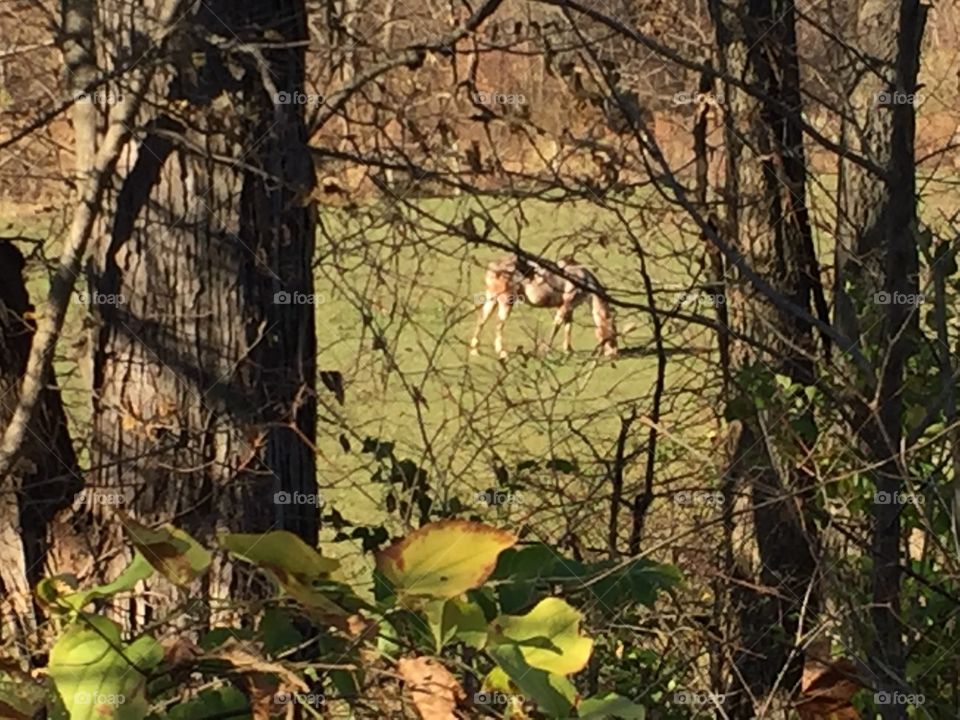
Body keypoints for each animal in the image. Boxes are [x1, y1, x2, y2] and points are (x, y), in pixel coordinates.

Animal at [470, 255, 620, 358]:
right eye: (613, 331)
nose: (614, 353)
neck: (583, 279)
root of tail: (493, 266)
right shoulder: (565, 304)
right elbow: (557, 325)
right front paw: (547, 350)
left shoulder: (571, 307)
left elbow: (568, 326)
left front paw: (568, 350)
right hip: (506, 300)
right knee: (499, 324)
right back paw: (502, 352)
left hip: (492, 298)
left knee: (482, 319)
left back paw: (475, 350)